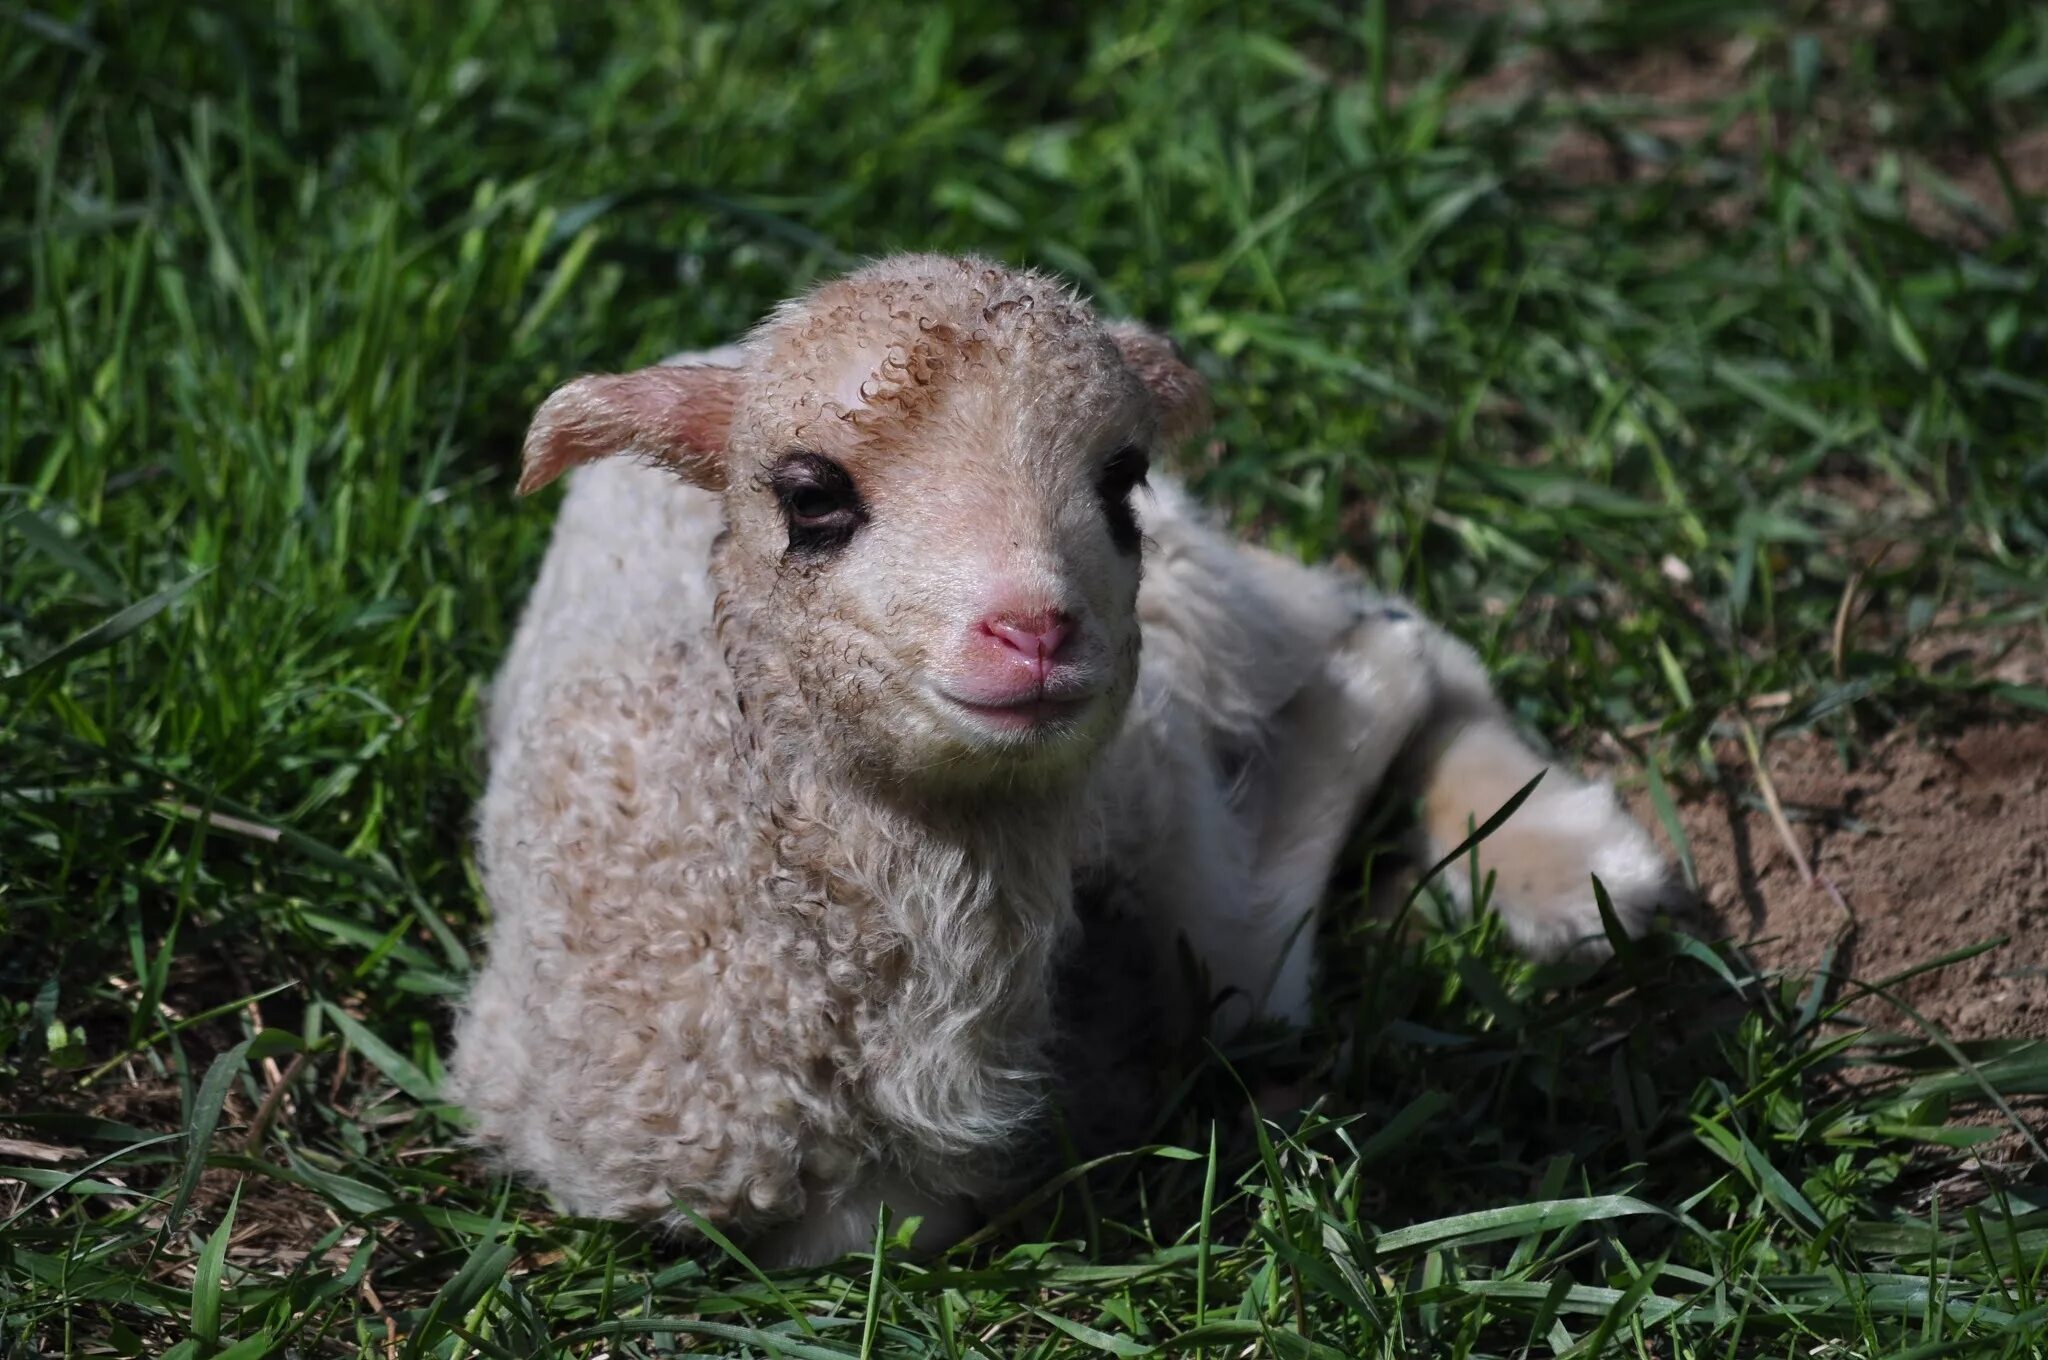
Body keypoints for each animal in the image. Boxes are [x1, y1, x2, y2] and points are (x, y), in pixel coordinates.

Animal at [452, 251, 1679, 1261]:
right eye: (810, 495)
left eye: (1119, 477)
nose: (1036, 630)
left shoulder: (1150, 770)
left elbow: (1245, 966)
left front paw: (1378, 684)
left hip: (1195, 607)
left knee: (1375, 630)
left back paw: (1563, 861)